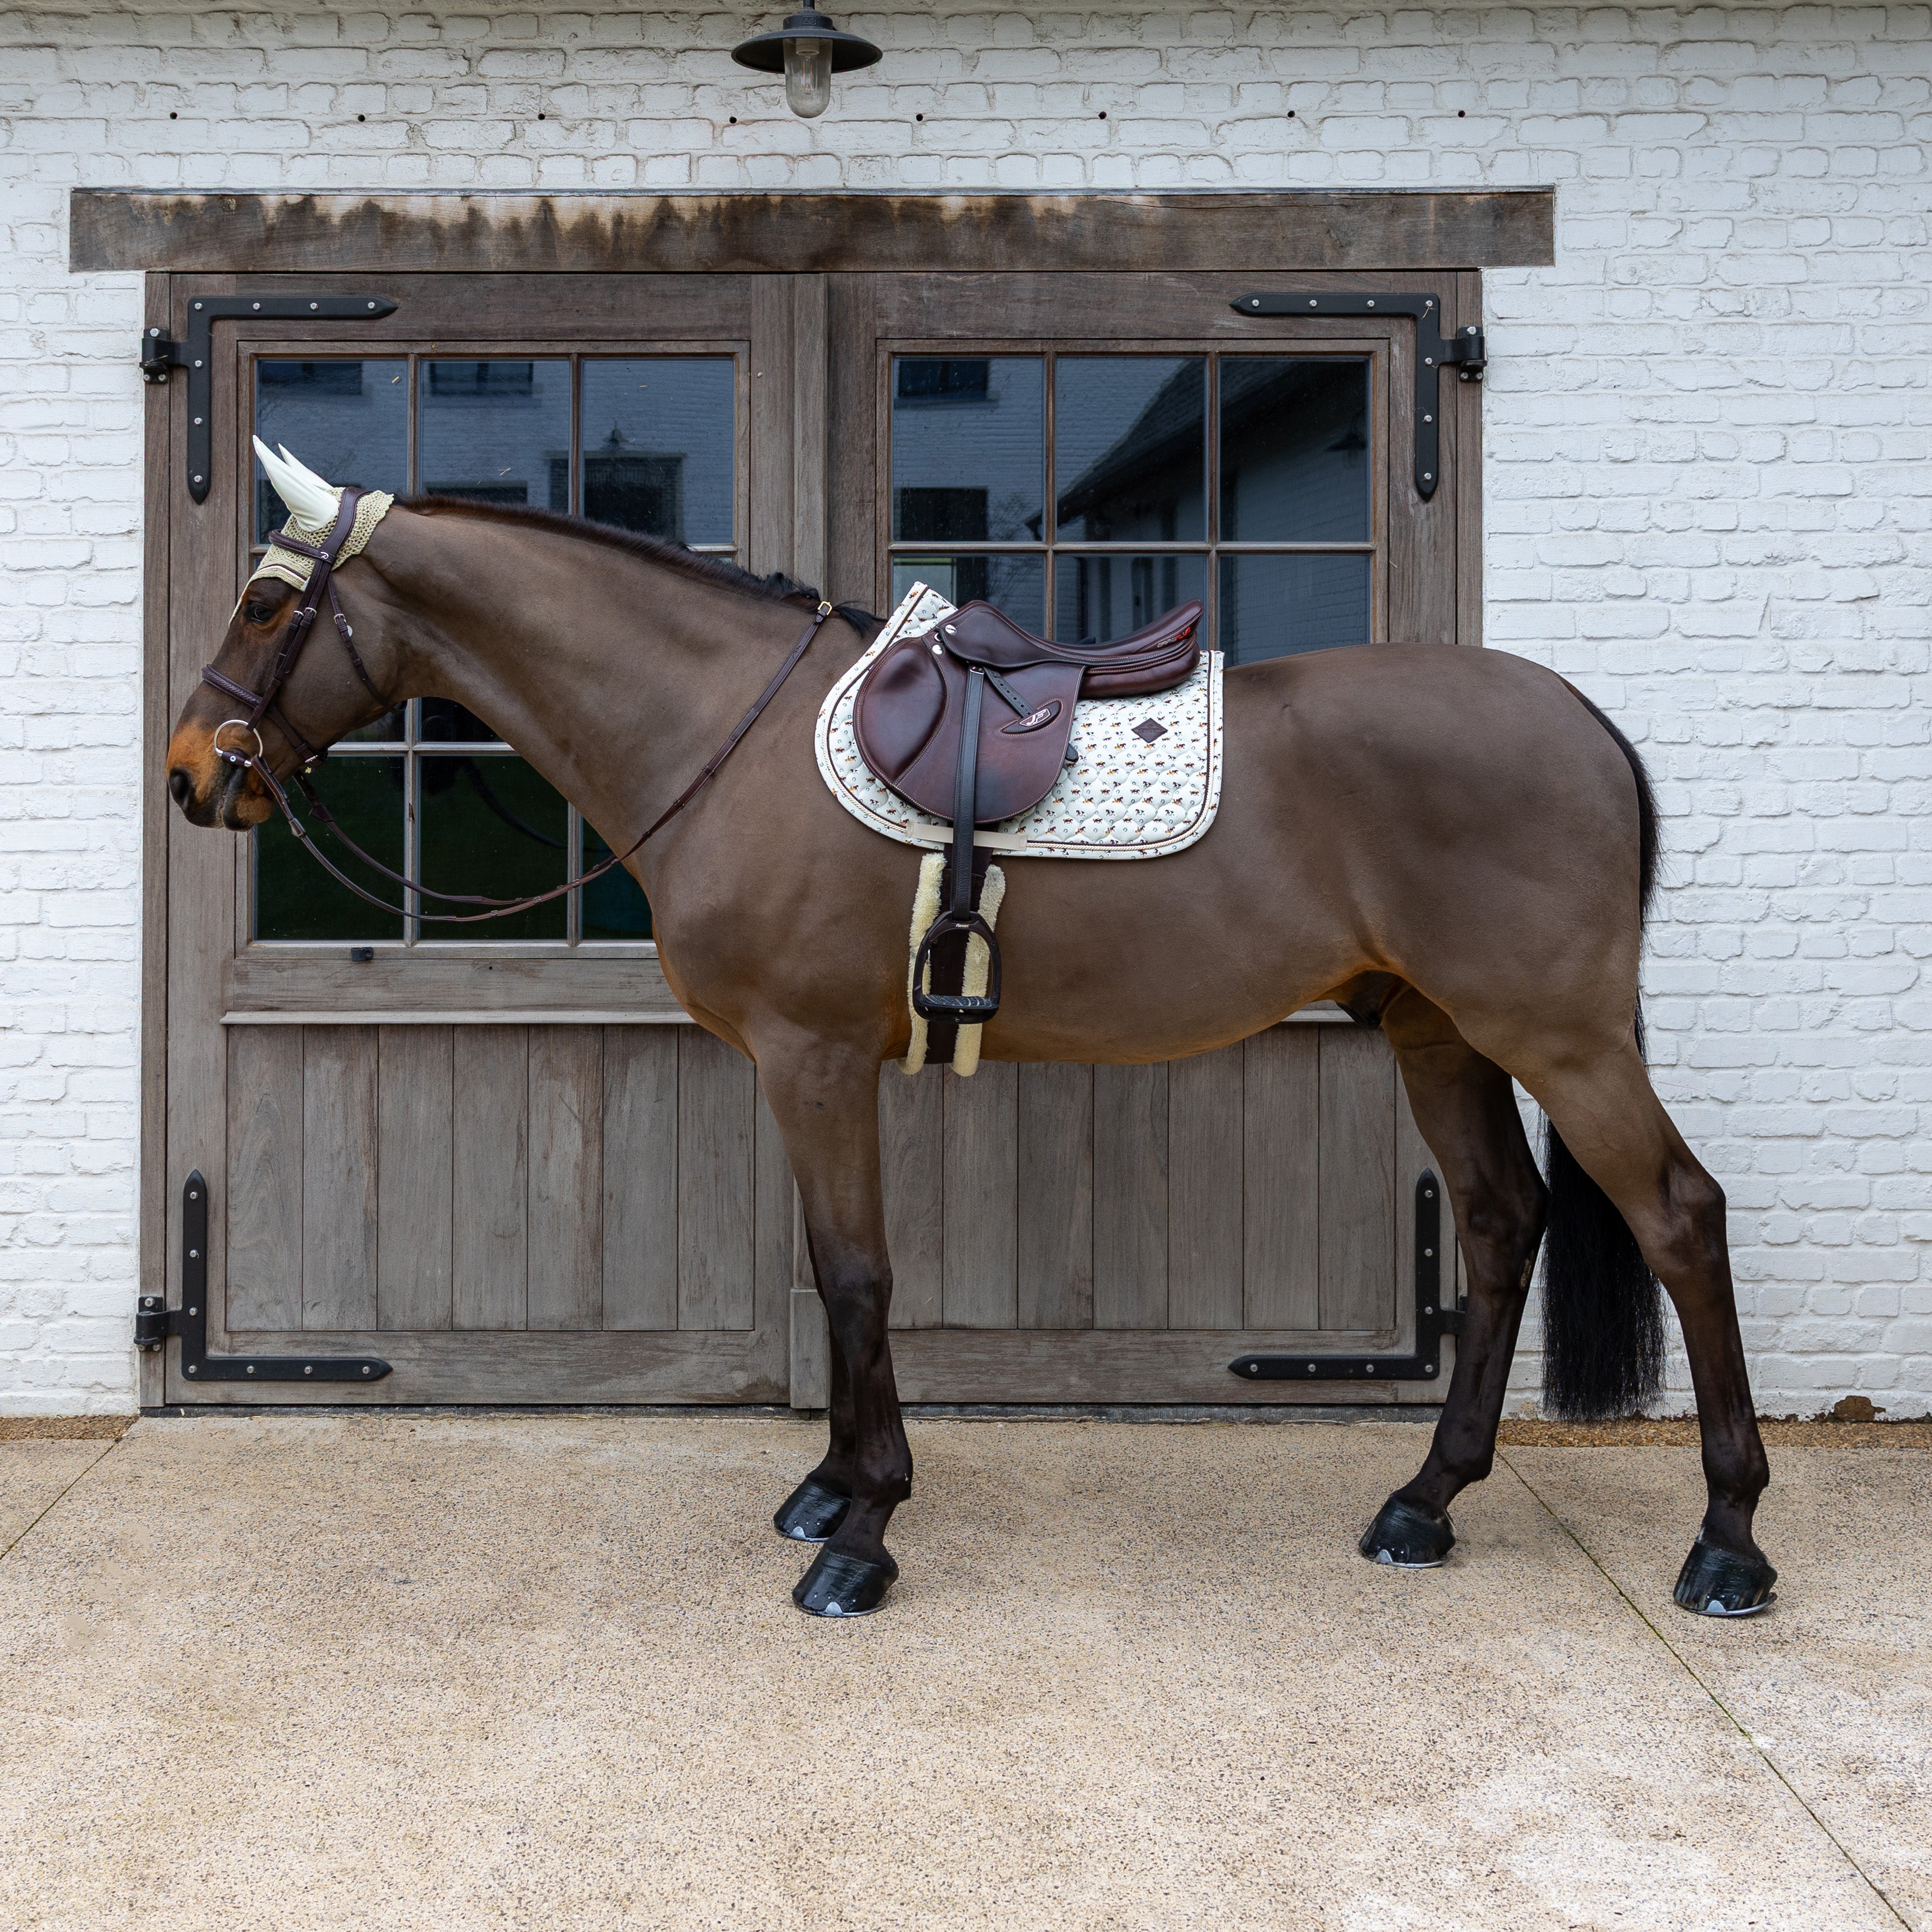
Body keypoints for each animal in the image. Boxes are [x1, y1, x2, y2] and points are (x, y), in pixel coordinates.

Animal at [165, 445, 1777, 1621]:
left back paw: (1725, 1542)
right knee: (1502, 1222)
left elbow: (856, 1275)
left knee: (1678, 1215)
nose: (191, 771)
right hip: (1437, 1031)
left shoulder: (814, 1058)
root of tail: (1579, 718)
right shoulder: (802, 1071)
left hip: (1556, 1034)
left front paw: (861, 1529)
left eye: (265, 606)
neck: (729, 735)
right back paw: (1422, 1502)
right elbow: (833, 1276)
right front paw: (827, 1487)